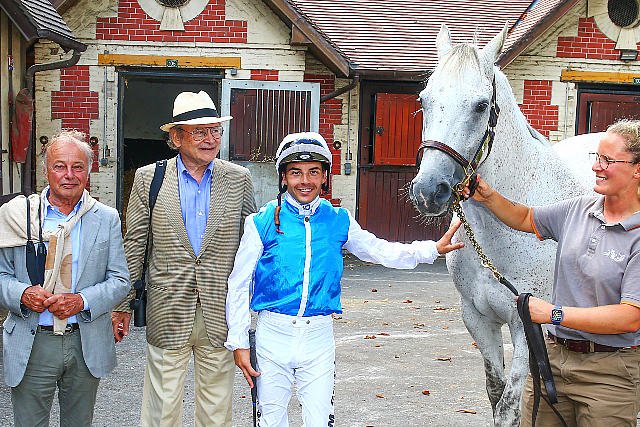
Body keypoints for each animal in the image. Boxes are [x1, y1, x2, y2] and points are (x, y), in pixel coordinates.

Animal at [410, 24, 596, 426]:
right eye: (424, 99)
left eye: (481, 105)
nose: (429, 190)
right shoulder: (478, 319)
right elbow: (495, 392)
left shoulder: (526, 325)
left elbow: (509, 407)